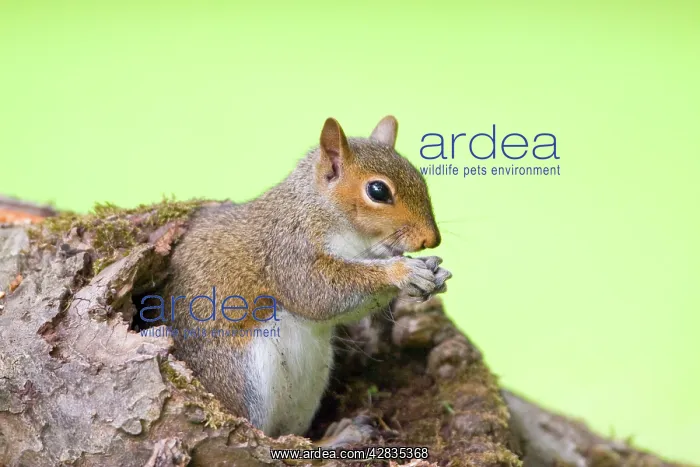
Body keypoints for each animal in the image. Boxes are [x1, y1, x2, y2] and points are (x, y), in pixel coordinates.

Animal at [164, 116, 452, 441]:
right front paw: (402, 272)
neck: (321, 208)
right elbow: (315, 292)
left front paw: (433, 271)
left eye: (420, 178)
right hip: (244, 379)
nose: (432, 239)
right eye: (378, 191)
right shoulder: (288, 250)